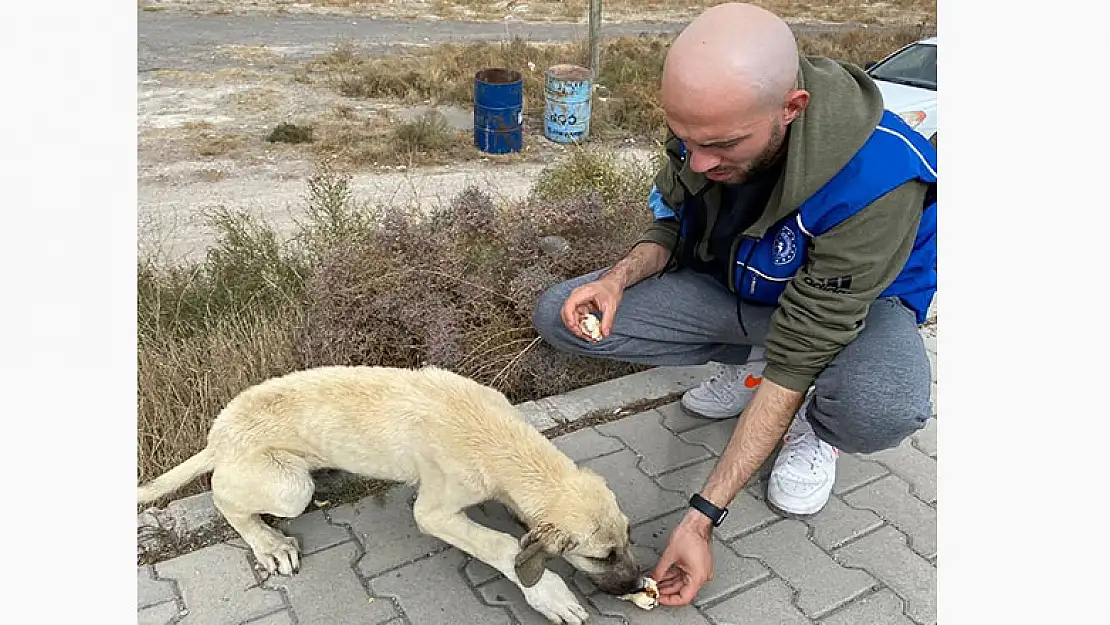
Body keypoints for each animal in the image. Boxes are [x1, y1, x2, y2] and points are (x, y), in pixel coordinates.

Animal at [136, 364, 643, 621]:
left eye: (629, 539)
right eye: (601, 557)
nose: (637, 586)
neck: (500, 438)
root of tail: (217, 438)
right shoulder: (435, 510)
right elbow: (500, 546)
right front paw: (548, 593)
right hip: (289, 486)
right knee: (223, 497)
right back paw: (269, 543)